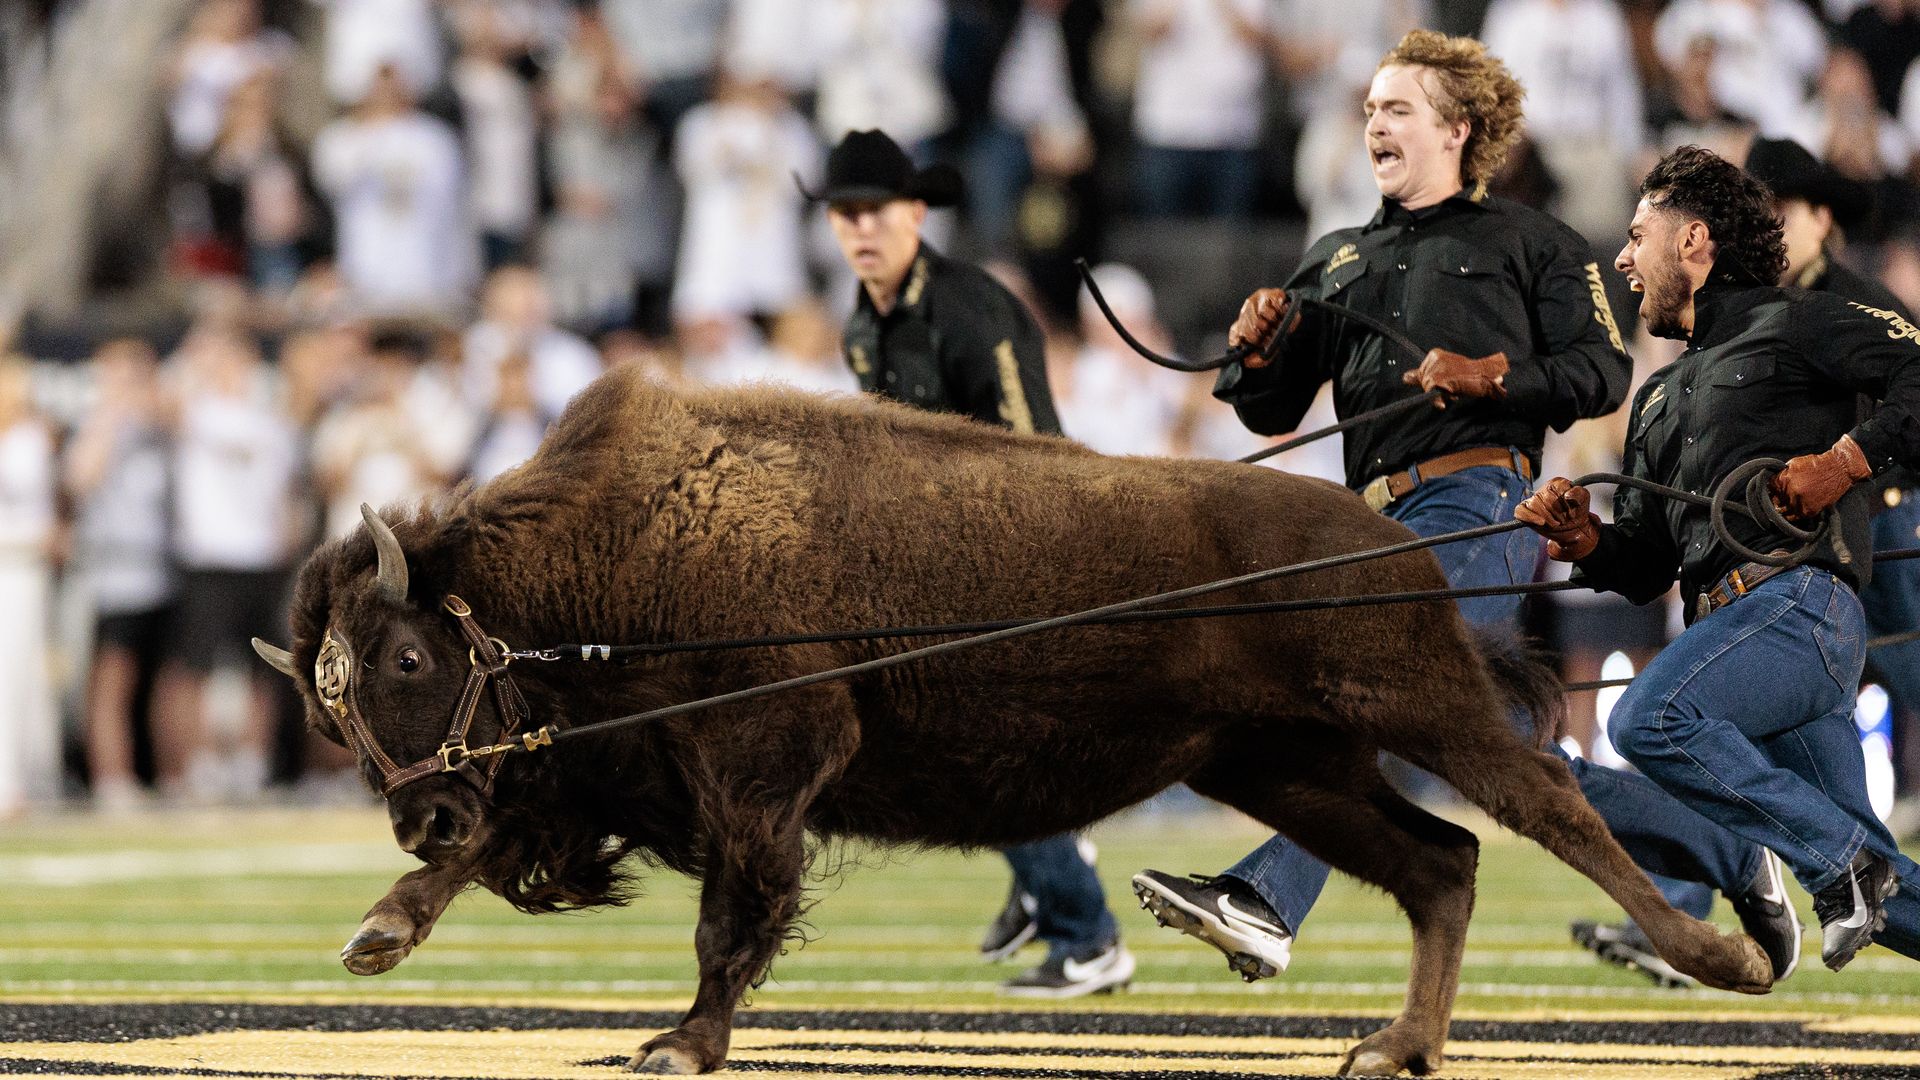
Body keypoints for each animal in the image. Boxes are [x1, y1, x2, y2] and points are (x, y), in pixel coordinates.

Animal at [253, 367, 1771, 1076]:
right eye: (326, 715)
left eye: (402, 656)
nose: (417, 804)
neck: (628, 556)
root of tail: (1385, 538)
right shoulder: (603, 779)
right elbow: (505, 852)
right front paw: (379, 932)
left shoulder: (761, 774)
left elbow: (729, 922)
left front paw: (679, 1041)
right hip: (1284, 769)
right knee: (1439, 864)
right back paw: (1393, 1047)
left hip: (1418, 708)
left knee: (1544, 801)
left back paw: (1721, 956)